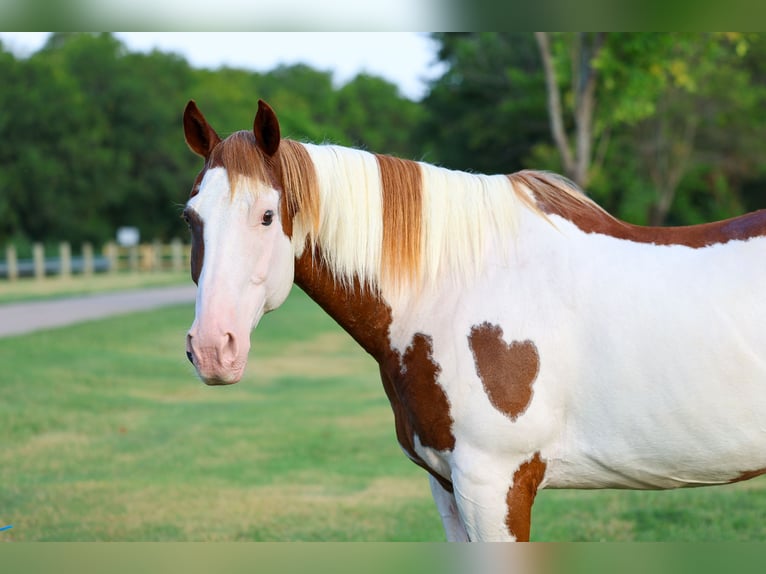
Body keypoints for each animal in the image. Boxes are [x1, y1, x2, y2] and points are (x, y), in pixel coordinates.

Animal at [182, 99, 766, 542]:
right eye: (191, 218)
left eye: (266, 216)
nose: (212, 348)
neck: (456, 288)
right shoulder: (447, 485)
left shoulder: (496, 484)